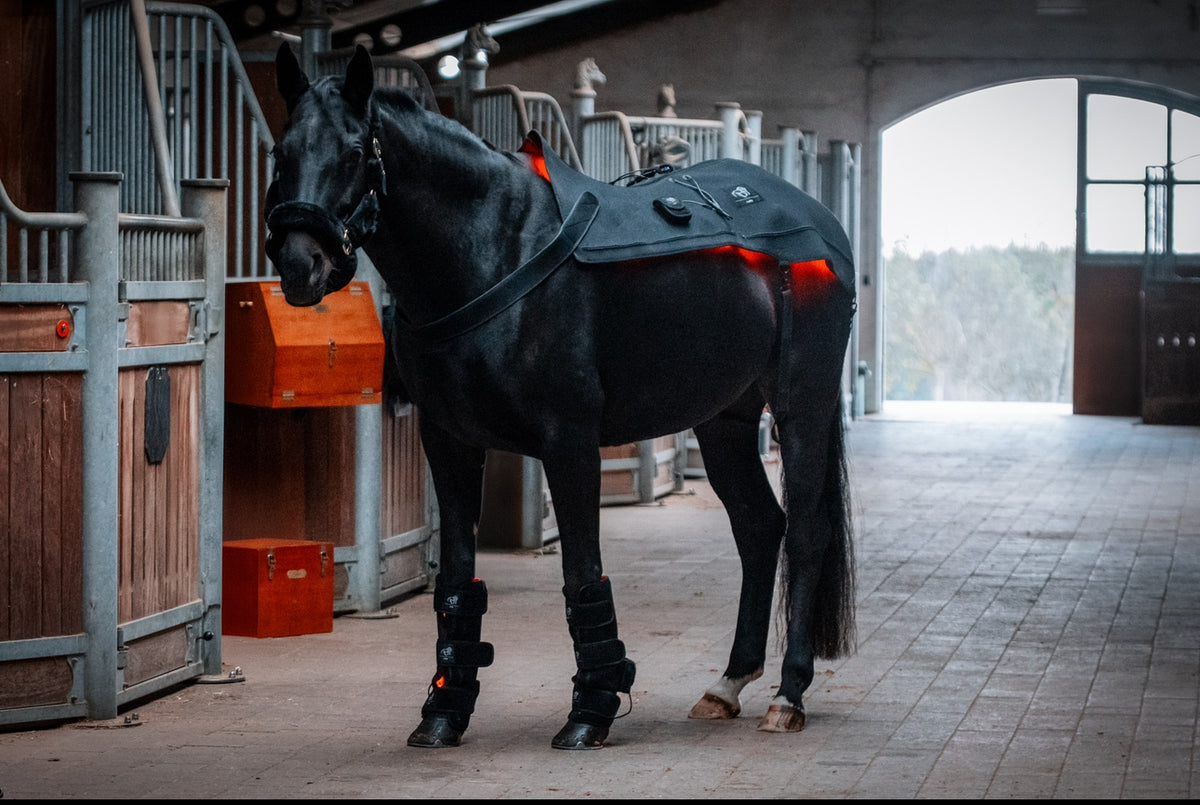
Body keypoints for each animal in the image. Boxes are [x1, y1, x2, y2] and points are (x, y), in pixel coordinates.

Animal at [265, 42, 857, 751]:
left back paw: (788, 695)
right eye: (280, 152)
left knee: (806, 533)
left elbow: (581, 571)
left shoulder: (568, 441)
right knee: (759, 527)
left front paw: (590, 713)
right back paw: (728, 684)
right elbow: (457, 580)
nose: (301, 265)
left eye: (356, 151)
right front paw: (442, 712)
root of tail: (819, 220)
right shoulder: (449, 442)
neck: (494, 251)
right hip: (725, 421)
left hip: (801, 406)